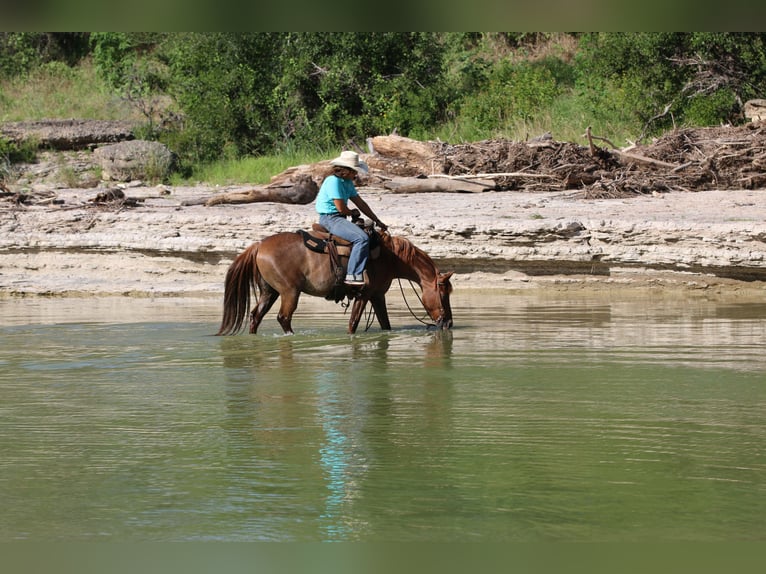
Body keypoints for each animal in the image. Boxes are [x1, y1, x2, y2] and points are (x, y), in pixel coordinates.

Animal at [216, 229, 453, 335]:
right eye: (443, 294)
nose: (449, 323)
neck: (390, 257)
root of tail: (259, 245)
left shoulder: (377, 296)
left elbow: (385, 324)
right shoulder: (364, 295)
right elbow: (353, 324)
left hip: (270, 292)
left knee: (256, 316)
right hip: (289, 292)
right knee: (283, 318)